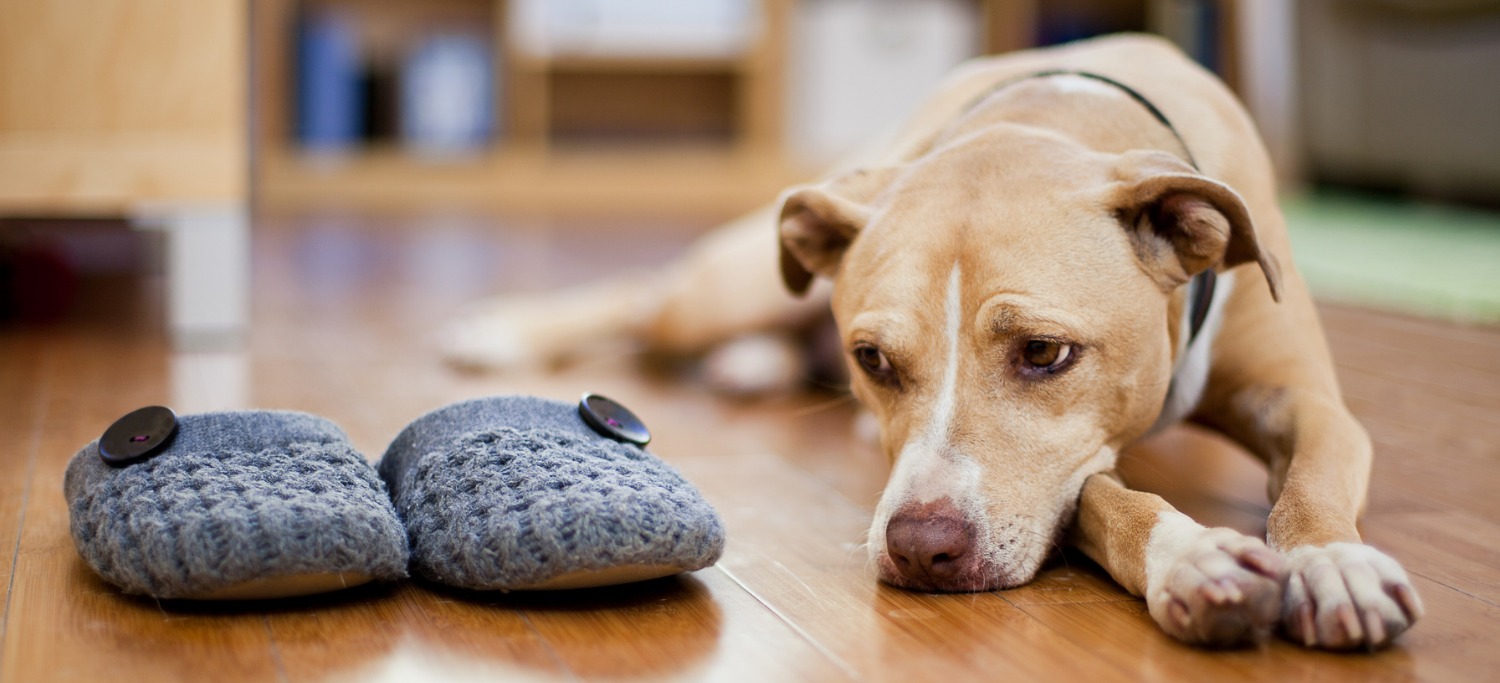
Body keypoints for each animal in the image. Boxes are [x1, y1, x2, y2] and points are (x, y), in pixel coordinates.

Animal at [441, 33, 1416, 651]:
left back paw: (752, 362)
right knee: (645, 299)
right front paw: (1197, 555)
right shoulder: (1064, 476)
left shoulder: (1307, 401)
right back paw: (506, 329)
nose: (920, 547)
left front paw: (1332, 562)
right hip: (727, 281)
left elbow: (1313, 481)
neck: (1059, 115)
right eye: (874, 360)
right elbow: (1106, 500)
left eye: (1044, 353)